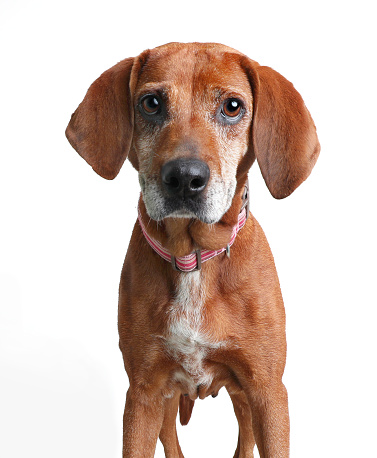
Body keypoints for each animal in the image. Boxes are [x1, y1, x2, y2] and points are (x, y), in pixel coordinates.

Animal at [66, 43, 318, 458]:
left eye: (232, 107)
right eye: (151, 103)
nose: (185, 178)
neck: (192, 258)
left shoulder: (267, 391)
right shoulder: (144, 393)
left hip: (243, 397)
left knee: (244, 438)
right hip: (168, 401)